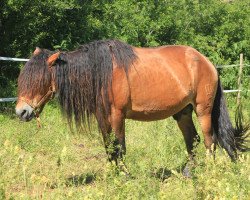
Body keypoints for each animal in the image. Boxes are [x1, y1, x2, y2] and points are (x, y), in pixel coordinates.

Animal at [15, 39, 248, 177]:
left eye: (39, 80)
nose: (21, 112)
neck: (101, 72)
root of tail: (206, 62)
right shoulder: (102, 118)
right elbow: (109, 147)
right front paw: (112, 175)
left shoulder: (117, 116)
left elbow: (120, 146)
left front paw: (125, 175)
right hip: (182, 112)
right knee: (193, 140)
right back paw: (190, 171)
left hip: (203, 110)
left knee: (210, 140)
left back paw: (209, 171)